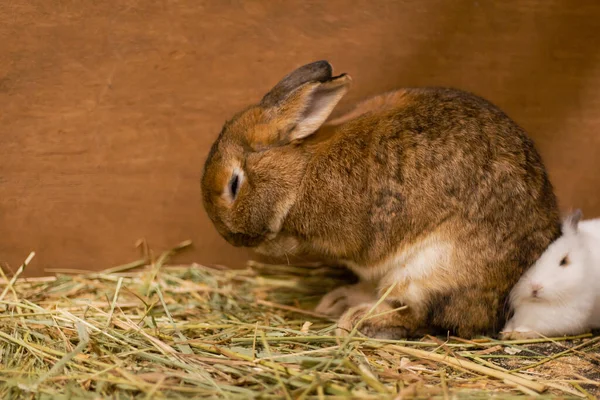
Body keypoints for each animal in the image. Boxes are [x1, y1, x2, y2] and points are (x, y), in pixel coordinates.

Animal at [200, 61, 556, 338]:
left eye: (234, 184)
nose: (231, 237)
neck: (301, 169)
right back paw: (339, 301)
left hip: (429, 271)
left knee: (418, 316)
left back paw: (357, 320)